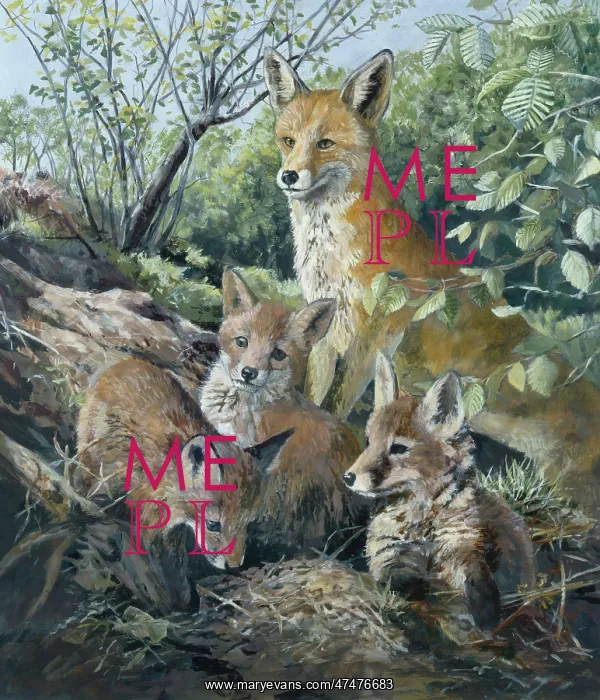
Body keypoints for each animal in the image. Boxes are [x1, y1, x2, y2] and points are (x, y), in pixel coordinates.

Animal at [263, 47, 600, 503]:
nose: (288, 176)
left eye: (325, 143)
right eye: (288, 141)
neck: (333, 256)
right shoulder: (327, 332)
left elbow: (333, 407)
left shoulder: (373, 336)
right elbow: (314, 399)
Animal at [343, 354, 536, 640]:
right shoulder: (389, 556)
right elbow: (409, 581)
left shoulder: (464, 549)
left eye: (398, 448)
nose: (348, 477)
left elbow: (477, 584)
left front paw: (486, 615)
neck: (423, 522)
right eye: (368, 442)